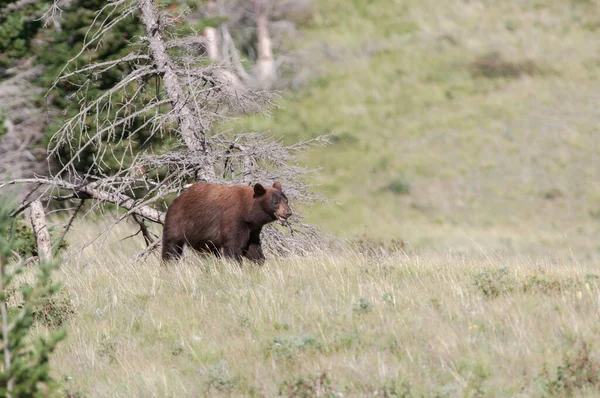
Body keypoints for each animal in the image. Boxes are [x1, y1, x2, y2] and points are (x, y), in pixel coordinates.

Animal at [159, 181, 290, 264]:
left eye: (286, 200)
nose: (288, 212)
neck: (248, 212)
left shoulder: (253, 228)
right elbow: (234, 246)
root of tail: (176, 199)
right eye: (276, 202)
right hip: (177, 221)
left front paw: (260, 262)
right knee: (171, 246)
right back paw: (169, 263)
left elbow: (253, 247)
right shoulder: (233, 219)